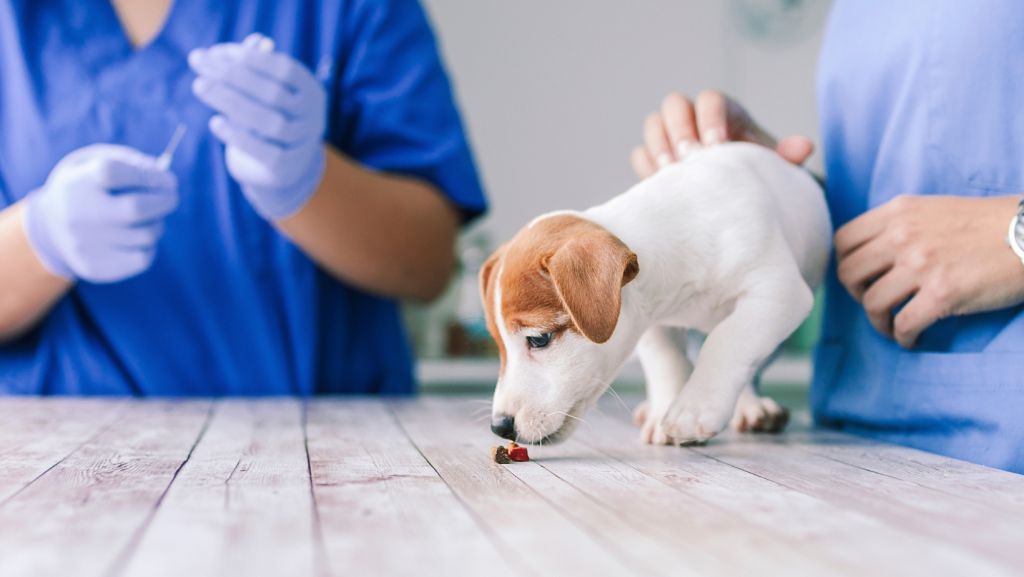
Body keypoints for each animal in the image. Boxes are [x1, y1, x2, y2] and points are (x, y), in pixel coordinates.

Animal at [479, 141, 831, 446]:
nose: (499, 427)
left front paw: (692, 409)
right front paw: (664, 412)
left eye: (539, 339)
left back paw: (750, 406)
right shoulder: (650, 320)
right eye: (498, 344)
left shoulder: (777, 292)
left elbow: (727, 341)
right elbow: (668, 361)